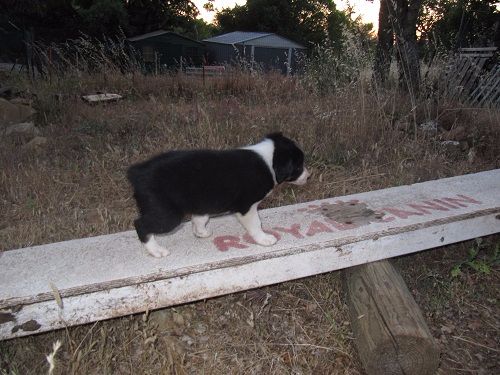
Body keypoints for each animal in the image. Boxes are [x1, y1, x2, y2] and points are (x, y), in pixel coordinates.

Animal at [127, 133, 308, 258]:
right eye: (299, 166)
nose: (309, 176)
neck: (268, 161)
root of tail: (137, 173)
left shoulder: (203, 202)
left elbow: (200, 218)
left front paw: (200, 232)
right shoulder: (247, 207)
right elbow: (256, 224)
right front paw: (264, 239)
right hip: (167, 215)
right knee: (140, 224)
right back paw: (156, 250)